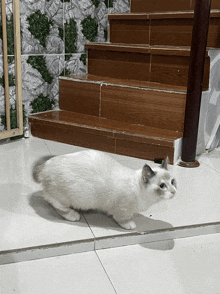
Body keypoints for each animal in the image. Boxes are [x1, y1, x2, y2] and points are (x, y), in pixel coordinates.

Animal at [33, 149, 177, 230]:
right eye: (162, 186)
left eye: (172, 182)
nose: (174, 191)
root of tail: (44, 165)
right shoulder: (122, 210)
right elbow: (122, 219)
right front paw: (129, 224)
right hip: (65, 198)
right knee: (57, 206)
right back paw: (73, 215)